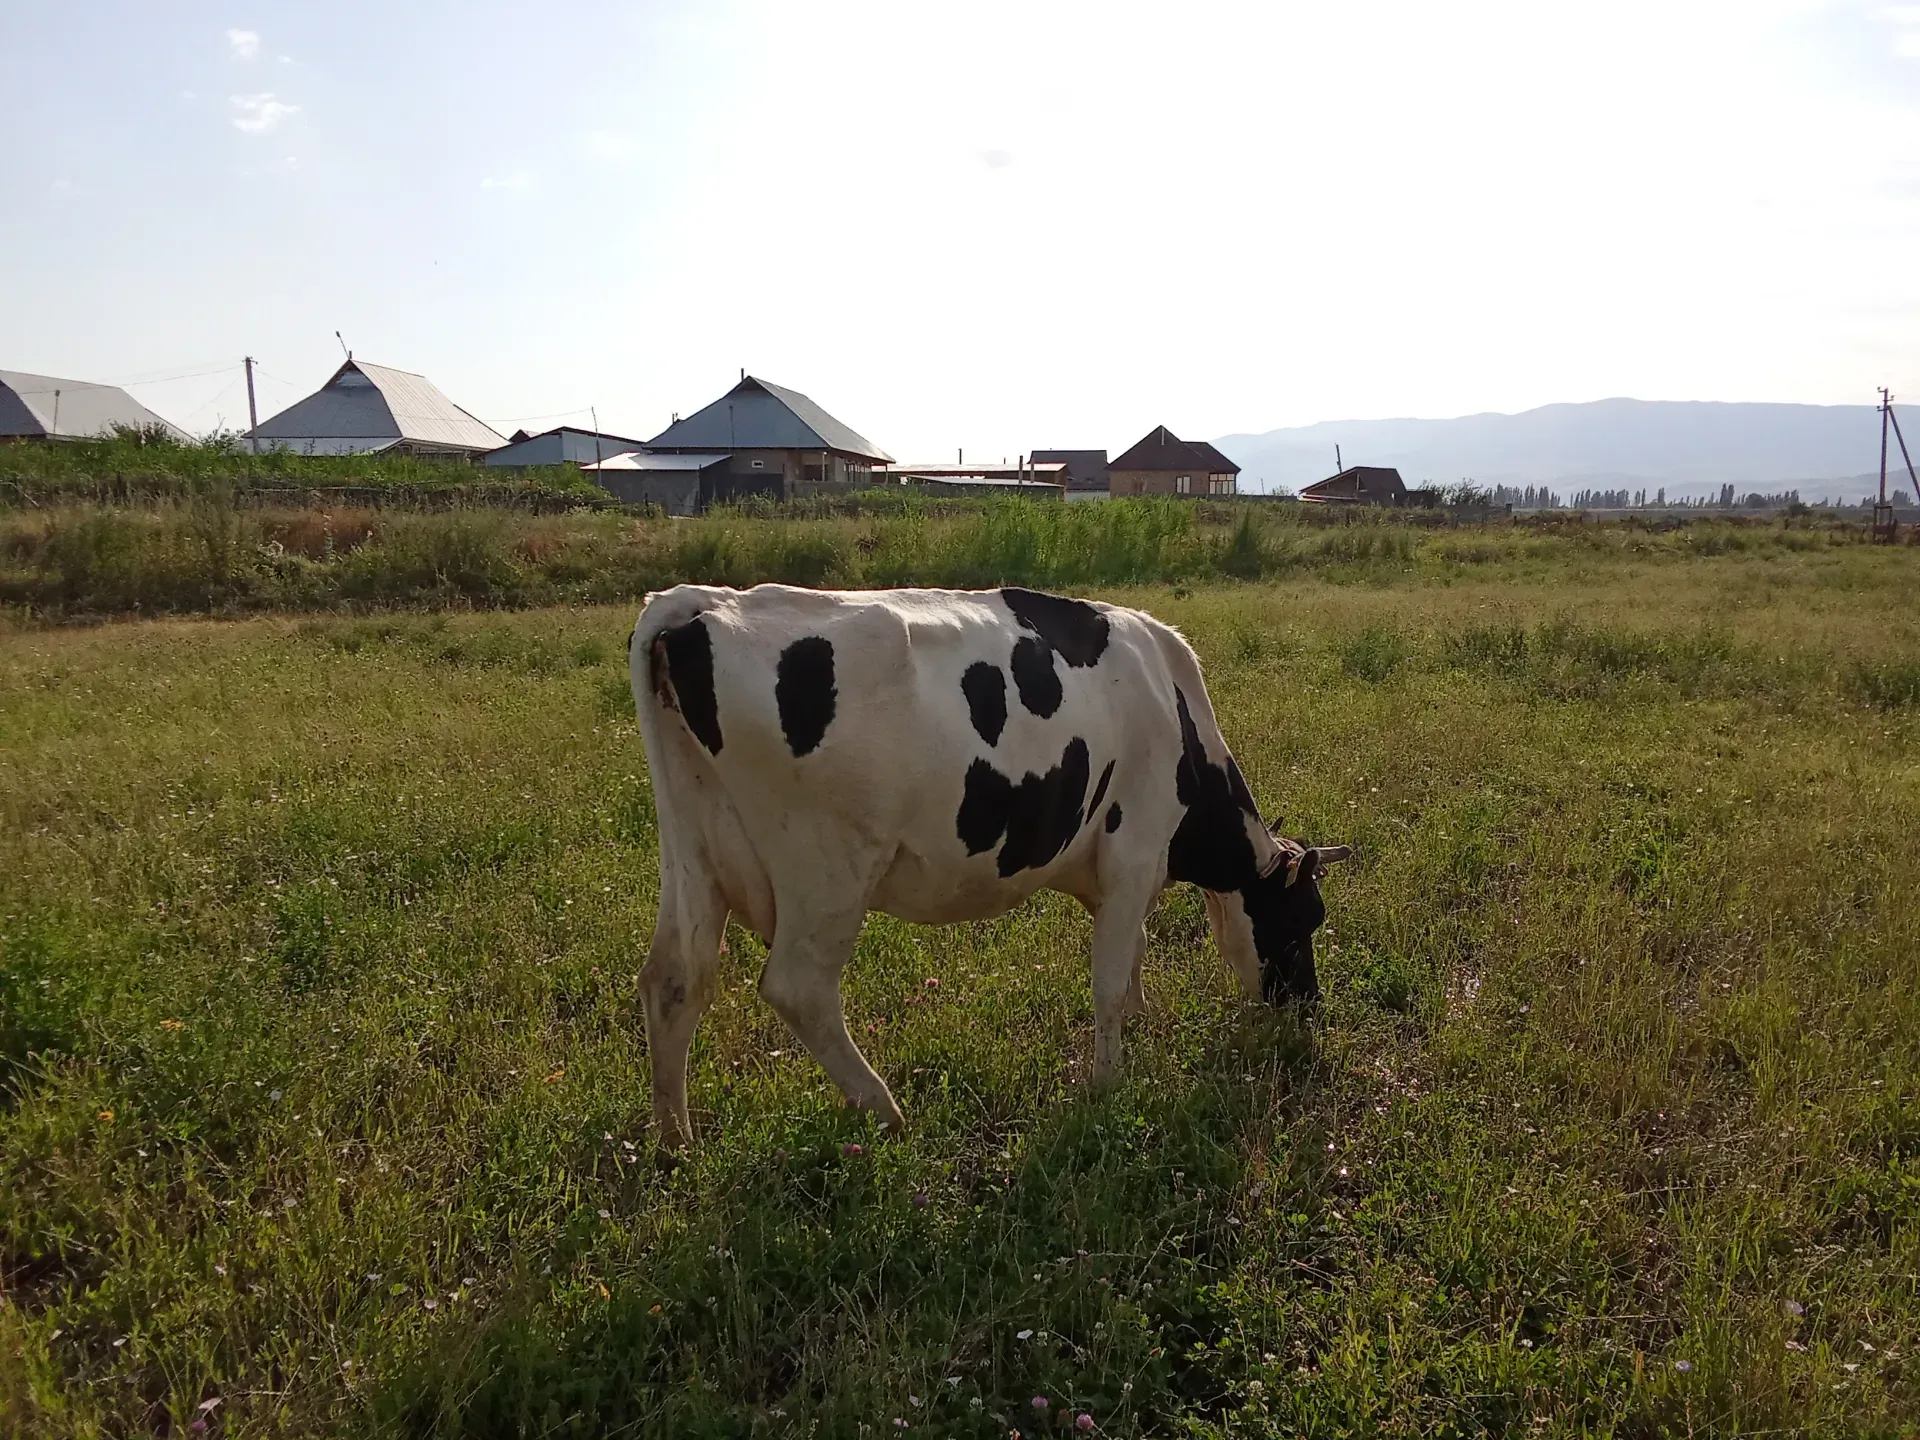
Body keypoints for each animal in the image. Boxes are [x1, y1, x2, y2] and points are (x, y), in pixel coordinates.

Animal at [630, 583, 1349, 1148]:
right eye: (1302, 921)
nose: (1308, 1005)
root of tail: (706, 602)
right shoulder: (1135, 848)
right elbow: (1108, 977)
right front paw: (1109, 1080)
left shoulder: (1121, 873)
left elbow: (1136, 951)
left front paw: (1143, 1022)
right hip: (827, 870)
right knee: (798, 987)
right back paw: (885, 1110)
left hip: (695, 847)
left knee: (675, 980)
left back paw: (675, 1144)